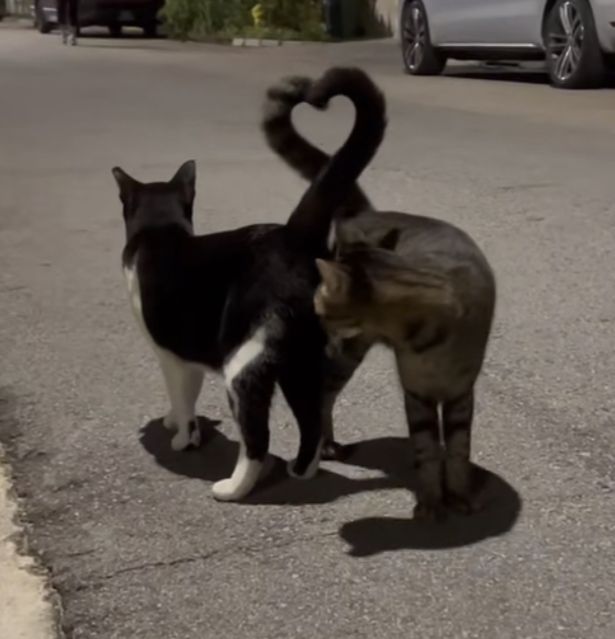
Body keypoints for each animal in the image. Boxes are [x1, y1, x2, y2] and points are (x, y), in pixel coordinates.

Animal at [113, 67, 388, 502]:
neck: (159, 231)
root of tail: (295, 234)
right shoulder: (186, 352)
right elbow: (185, 394)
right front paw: (175, 422)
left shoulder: (168, 350)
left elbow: (182, 398)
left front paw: (181, 437)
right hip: (304, 359)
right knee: (312, 416)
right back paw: (302, 470)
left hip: (246, 361)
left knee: (258, 433)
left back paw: (234, 486)